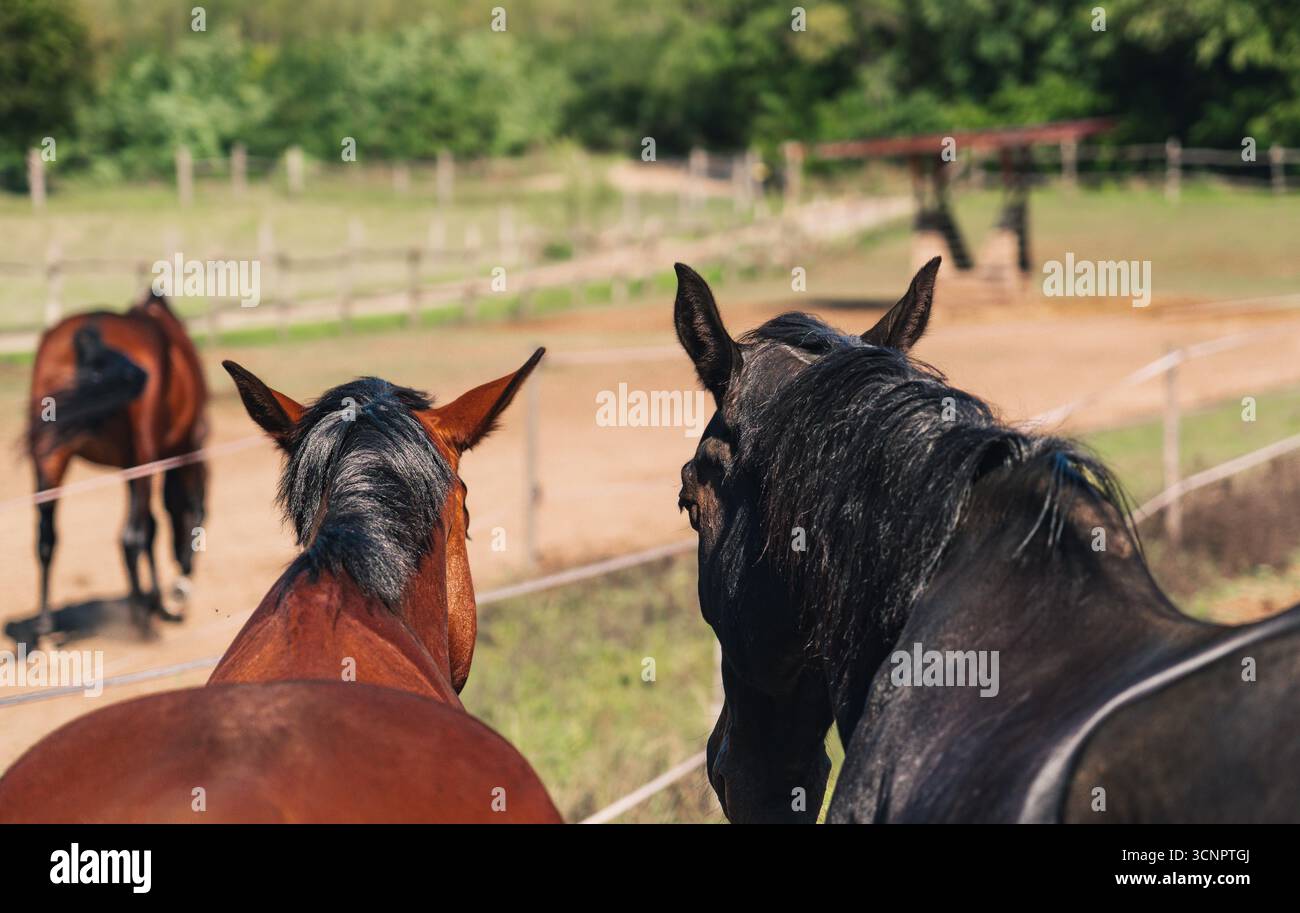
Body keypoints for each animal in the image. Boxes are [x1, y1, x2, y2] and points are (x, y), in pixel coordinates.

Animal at [25, 290, 209, 641]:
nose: (188, 571)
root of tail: (89, 332)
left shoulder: (129, 465)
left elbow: (153, 525)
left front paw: (158, 599)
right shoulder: (180, 448)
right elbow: (169, 516)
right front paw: (165, 598)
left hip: (50, 458)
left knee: (46, 538)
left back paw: (45, 627)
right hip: (144, 456)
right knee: (131, 537)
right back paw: (141, 624)